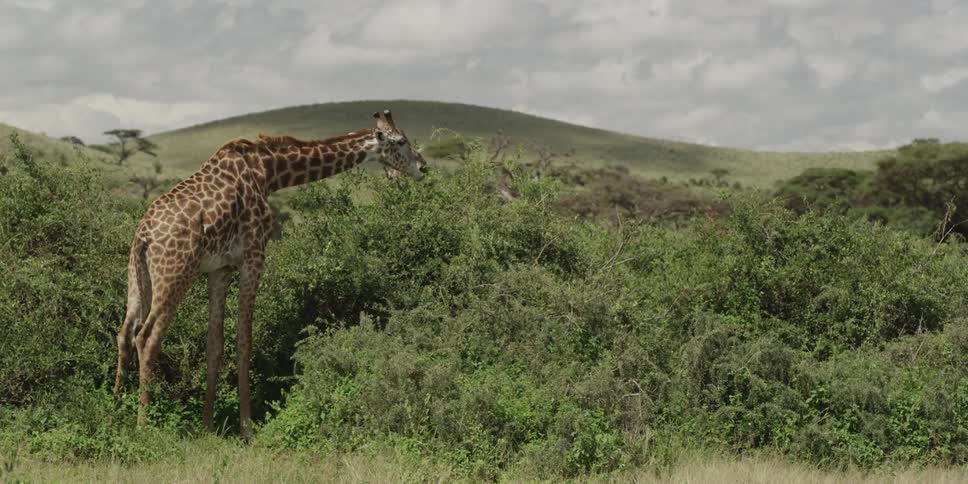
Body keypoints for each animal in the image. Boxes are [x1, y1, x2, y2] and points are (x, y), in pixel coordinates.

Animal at [112, 110, 425, 438]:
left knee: (125, 333)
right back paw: (143, 426)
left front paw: (208, 426)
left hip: (137, 275)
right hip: (175, 273)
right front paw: (247, 429)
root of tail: (144, 235)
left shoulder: (220, 269)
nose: (423, 168)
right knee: (147, 337)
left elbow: (215, 344)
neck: (268, 171)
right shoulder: (254, 255)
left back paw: (113, 414)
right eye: (401, 141)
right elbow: (244, 341)